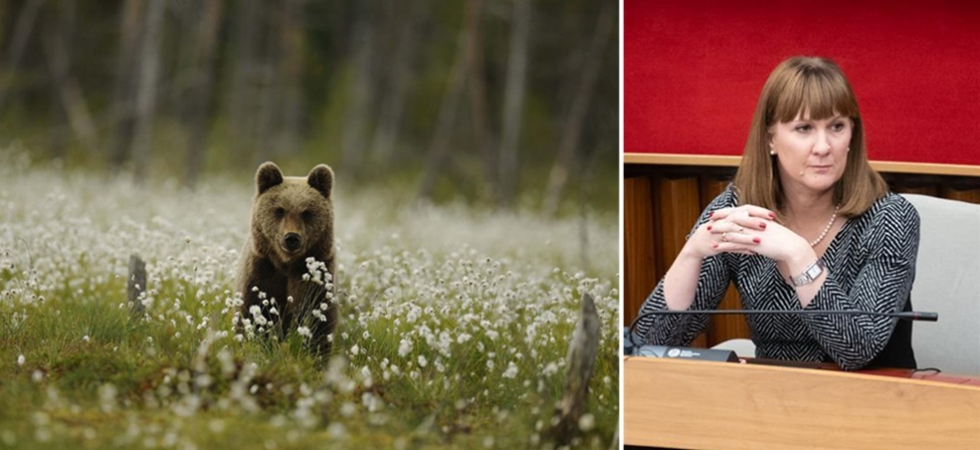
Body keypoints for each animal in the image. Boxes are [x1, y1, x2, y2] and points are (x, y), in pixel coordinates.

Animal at [236, 161, 337, 357]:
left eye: (306, 212)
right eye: (279, 210)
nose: (291, 238)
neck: (287, 265)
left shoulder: (317, 279)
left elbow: (318, 322)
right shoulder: (261, 272)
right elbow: (252, 314)